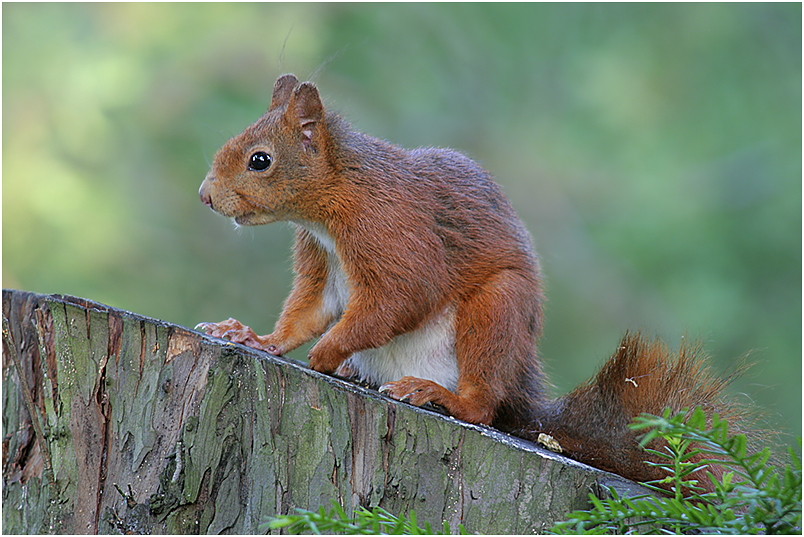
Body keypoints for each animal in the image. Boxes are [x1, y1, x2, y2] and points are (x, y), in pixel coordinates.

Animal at [195, 73, 752, 488]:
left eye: (260, 160)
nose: (205, 197)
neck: (335, 200)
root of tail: (521, 401)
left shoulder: (392, 234)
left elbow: (398, 299)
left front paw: (326, 354)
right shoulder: (321, 262)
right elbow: (306, 312)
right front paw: (255, 338)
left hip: (495, 312)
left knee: (482, 408)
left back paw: (439, 395)